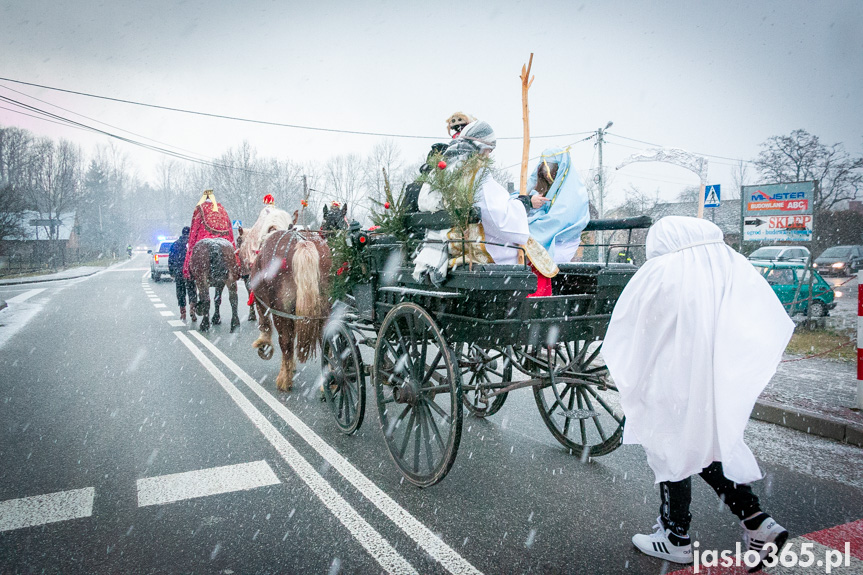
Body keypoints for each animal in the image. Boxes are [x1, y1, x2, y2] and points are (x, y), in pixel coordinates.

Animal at [251, 230, 332, 392]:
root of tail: (303, 243)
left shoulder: (261, 301)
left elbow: (264, 322)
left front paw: (263, 343)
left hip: (280, 312)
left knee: (285, 342)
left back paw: (284, 380)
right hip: (324, 310)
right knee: (325, 340)